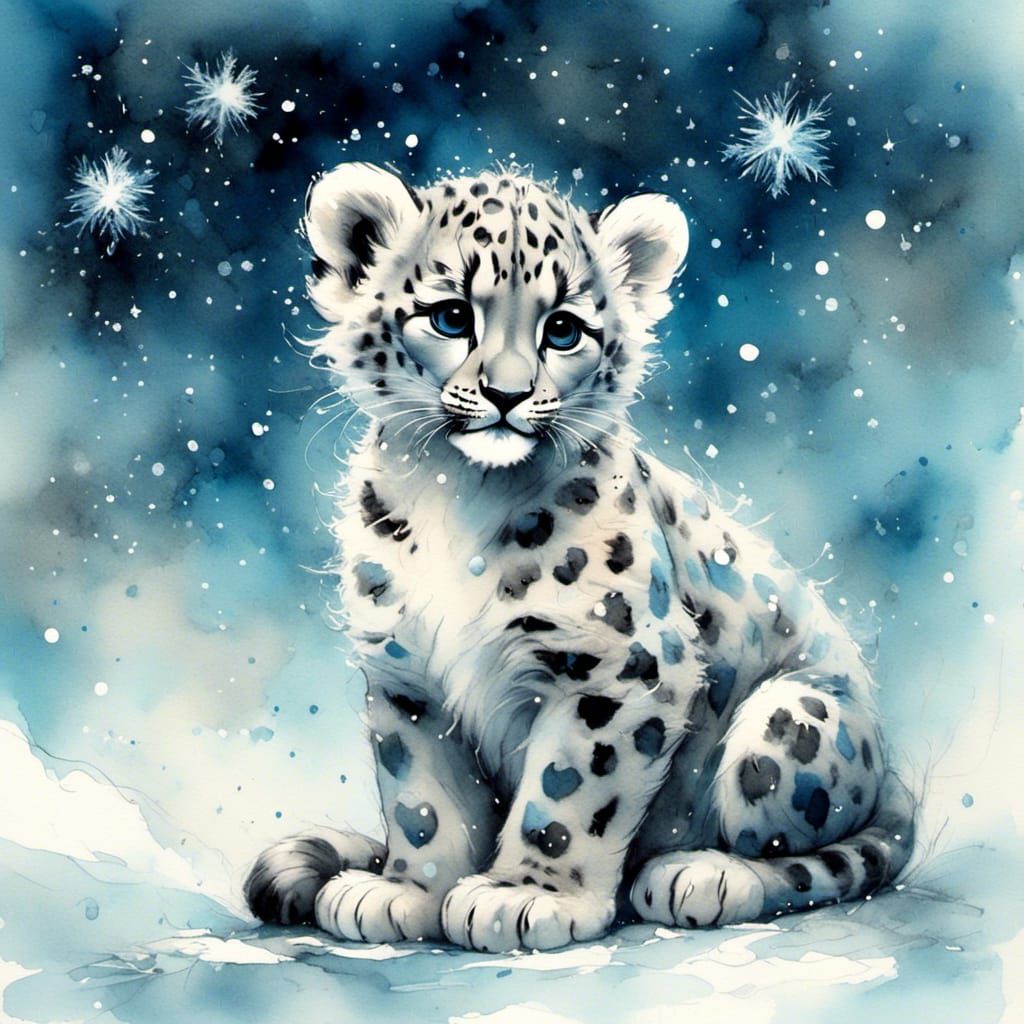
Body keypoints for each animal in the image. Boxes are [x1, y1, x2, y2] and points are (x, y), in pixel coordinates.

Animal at [244, 161, 915, 952]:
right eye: (451, 316)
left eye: (562, 328)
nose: (506, 395)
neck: (457, 495)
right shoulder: (408, 676)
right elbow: (422, 798)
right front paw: (407, 892)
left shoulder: (620, 666)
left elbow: (569, 789)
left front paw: (526, 896)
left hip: (790, 723)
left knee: (802, 849)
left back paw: (701, 874)